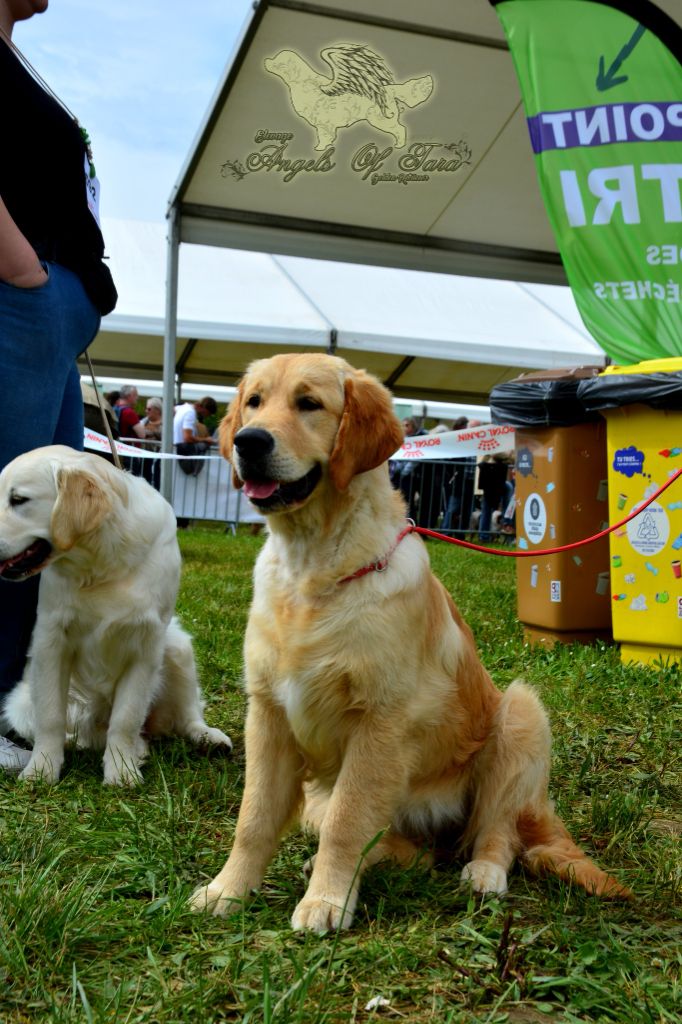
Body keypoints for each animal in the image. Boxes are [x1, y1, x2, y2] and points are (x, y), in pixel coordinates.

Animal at [0, 444, 231, 786]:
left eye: (18, 500)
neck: (101, 564)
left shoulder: (146, 645)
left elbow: (126, 717)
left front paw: (122, 771)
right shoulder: (51, 640)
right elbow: (51, 716)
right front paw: (41, 770)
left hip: (177, 648)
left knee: (187, 716)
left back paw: (207, 739)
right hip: (21, 703)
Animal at [189, 356, 626, 933]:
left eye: (309, 404)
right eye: (254, 402)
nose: (248, 440)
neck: (314, 570)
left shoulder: (379, 722)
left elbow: (348, 822)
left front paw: (326, 902)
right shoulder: (268, 714)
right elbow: (255, 817)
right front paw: (229, 890)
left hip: (519, 716)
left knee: (498, 830)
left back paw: (484, 872)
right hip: (322, 797)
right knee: (415, 853)